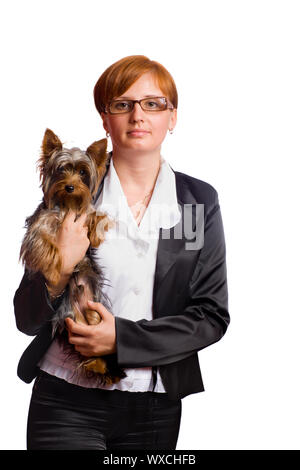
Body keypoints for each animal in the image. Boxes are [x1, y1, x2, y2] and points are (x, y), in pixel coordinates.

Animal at [18, 126, 126, 384]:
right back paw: (96, 365)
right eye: (61, 170)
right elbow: (42, 242)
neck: (67, 204)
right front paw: (55, 264)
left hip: (95, 314)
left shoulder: (86, 211)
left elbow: (97, 214)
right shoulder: (40, 223)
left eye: (82, 173)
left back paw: (100, 364)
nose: (70, 187)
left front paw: (95, 234)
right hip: (71, 322)